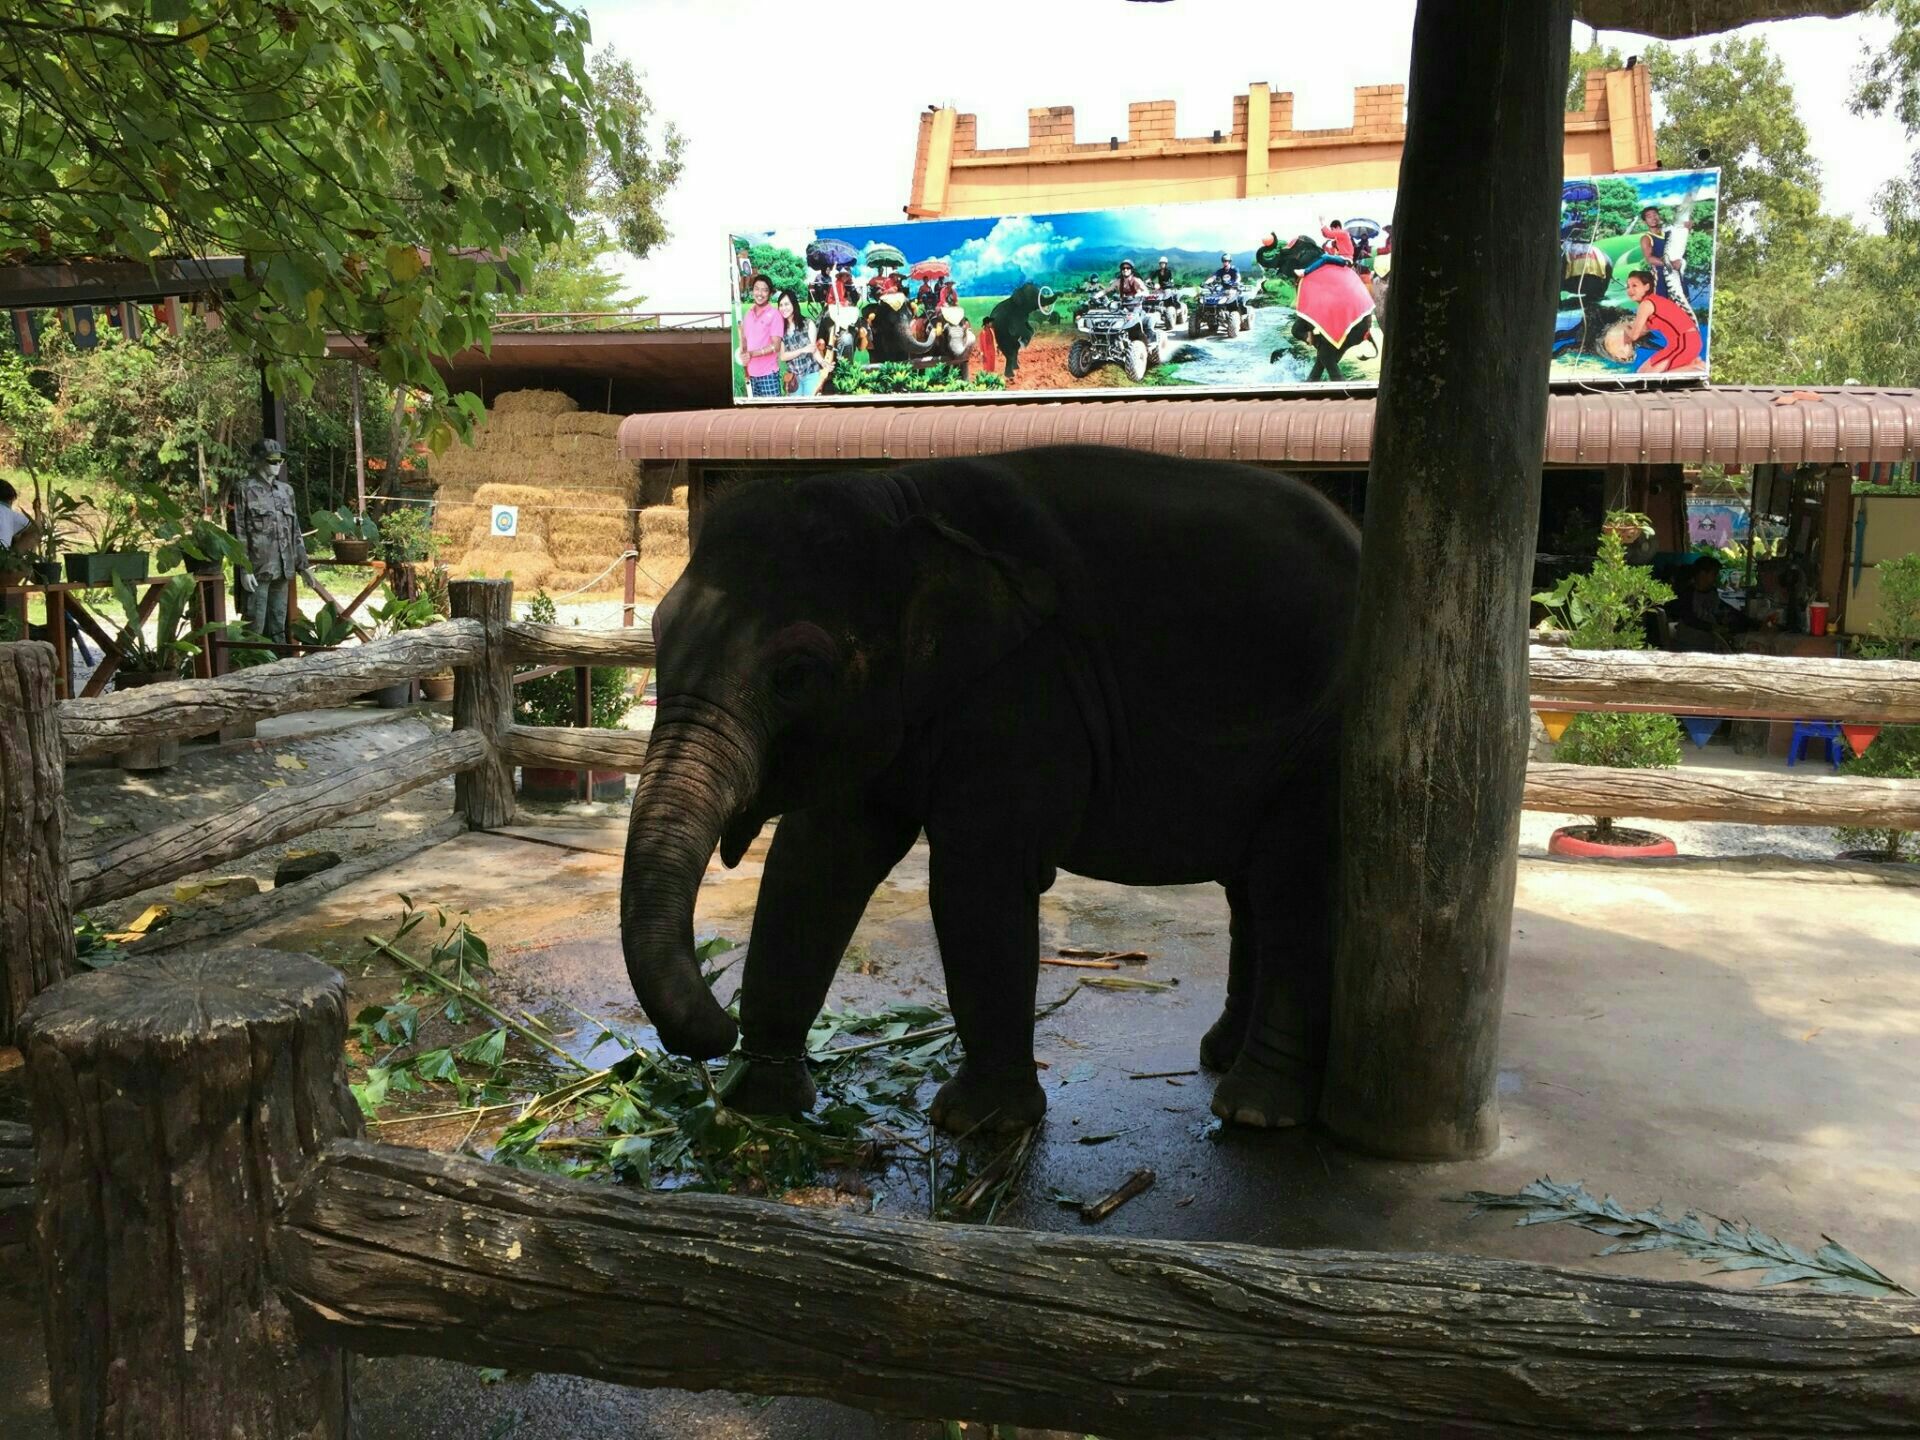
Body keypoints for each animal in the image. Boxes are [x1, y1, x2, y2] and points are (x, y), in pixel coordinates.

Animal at [619, 445, 1361, 1136]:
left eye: (795, 674)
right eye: (655, 634)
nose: (713, 1031)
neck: (900, 499)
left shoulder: (1029, 687)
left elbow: (976, 877)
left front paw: (976, 1123)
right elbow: (814, 864)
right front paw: (763, 1104)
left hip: (1327, 739)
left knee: (1292, 886)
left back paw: (1255, 1110)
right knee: (1251, 890)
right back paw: (1220, 1057)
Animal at [1256, 234, 1377, 381]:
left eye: (1283, 253)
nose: (1271, 237)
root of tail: (1367, 333)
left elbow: (1301, 321)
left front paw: (1310, 338)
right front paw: (1313, 338)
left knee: (1326, 355)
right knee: (1330, 354)